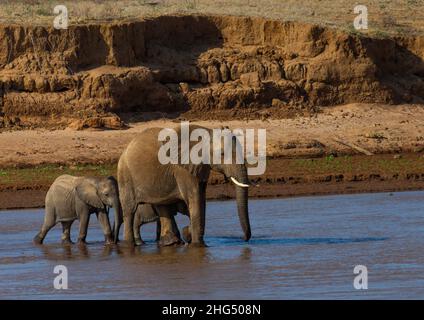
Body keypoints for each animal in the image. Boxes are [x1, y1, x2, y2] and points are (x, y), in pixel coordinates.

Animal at [116, 125, 250, 248]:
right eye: (222, 154)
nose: (243, 239)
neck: (207, 133)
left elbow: (201, 199)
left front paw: (188, 235)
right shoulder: (182, 170)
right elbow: (194, 199)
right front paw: (197, 245)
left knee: (162, 205)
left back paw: (171, 243)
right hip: (125, 176)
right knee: (129, 210)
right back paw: (129, 245)